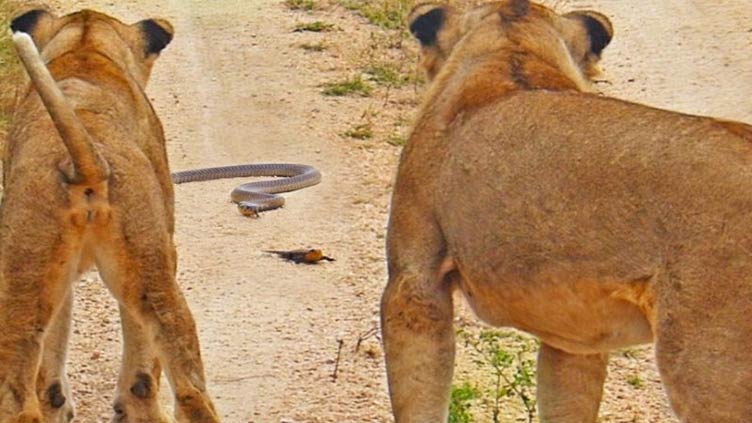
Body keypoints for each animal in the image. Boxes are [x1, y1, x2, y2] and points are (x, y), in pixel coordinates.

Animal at [0, 7, 220, 423]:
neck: (85, 51)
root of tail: (85, 163)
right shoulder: (166, 251)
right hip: (153, 277)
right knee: (190, 391)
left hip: (28, 280)